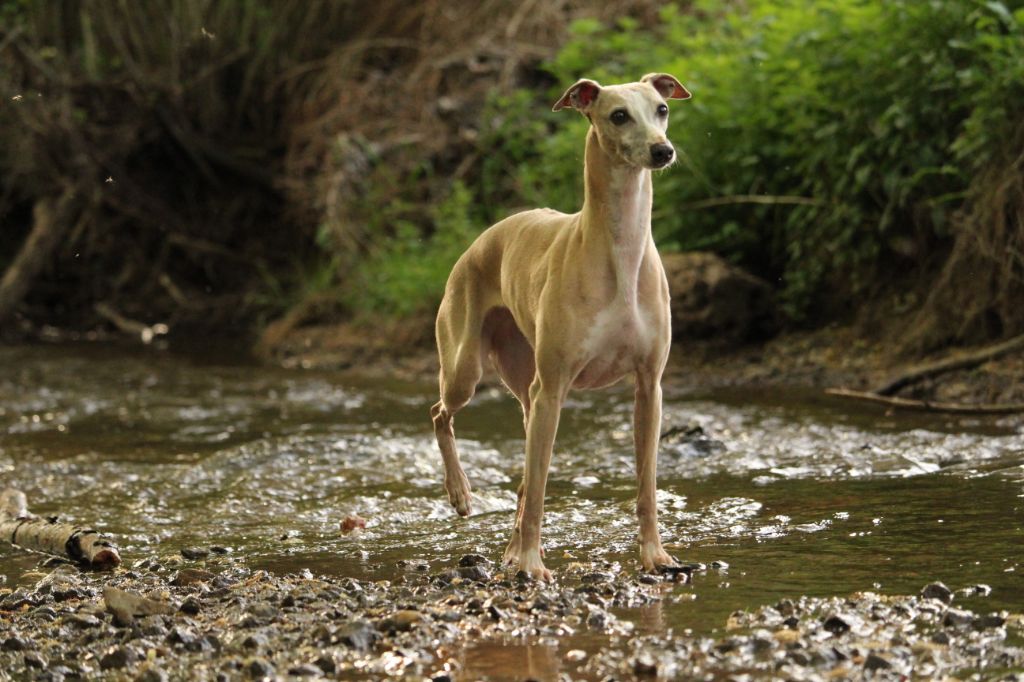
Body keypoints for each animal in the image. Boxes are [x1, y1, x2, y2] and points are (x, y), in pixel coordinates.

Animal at [428, 74, 692, 577]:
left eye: (663, 108)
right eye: (618, 115)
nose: (663, 150)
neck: (620, 253)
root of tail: (482, 239)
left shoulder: (650, 386)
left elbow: (647, 486)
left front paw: (655, 555)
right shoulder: (553, 389)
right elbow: (539, 489)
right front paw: (532, 564)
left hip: (525, 389)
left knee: (521, 476)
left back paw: (509, 548)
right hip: (469, 369)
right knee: (441, 414)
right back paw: (462, 494)